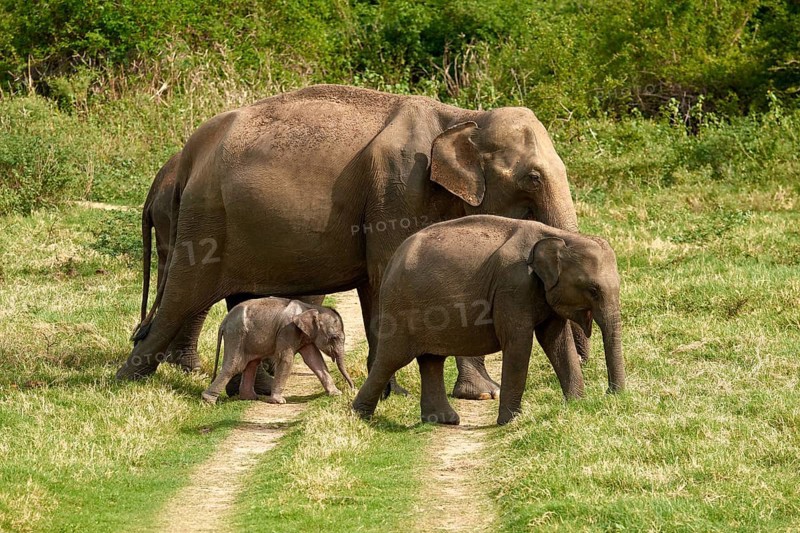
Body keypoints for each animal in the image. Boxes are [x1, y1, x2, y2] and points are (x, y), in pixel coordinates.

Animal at [202, 297, 354, 404]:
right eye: (334, 337)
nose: (352, 388)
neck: (311, 308)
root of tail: (224, 321)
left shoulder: (306, 335)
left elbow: (315, 359)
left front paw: (336, 394)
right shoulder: (287, 329)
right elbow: (286, 359)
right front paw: (279, 401)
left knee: (251, 364)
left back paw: (249, 398)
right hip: (236, 335)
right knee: (235, 366)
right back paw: (208, 401)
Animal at [352, 215, 625, 426]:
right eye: (593, 290)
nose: (611, 393)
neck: (560, 236)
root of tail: (392, 262)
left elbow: (556, 342)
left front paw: (577, 405)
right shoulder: (513, 286)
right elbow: (519, 343)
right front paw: (510, 422)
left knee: (431, 360)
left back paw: (443, 420)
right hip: (401, 307)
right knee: (392, 358)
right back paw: (360, 417)